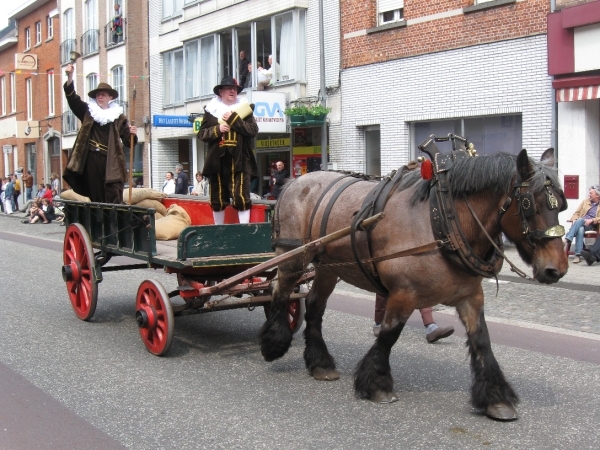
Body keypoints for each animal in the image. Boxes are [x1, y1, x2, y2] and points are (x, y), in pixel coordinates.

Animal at [258, 149, 568, 422]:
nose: (556, 269)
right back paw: (275, 343)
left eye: (561, 205)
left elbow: (482, 341)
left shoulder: (470, 296)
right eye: (529, 205)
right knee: (279, 292)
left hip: (326, 266)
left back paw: (320, 363)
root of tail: (294, 181)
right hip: (293, 257)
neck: (442, 221)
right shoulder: (404, 293)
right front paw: (377, 383)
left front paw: (496, 398)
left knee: (314, 306)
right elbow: (388, 334)